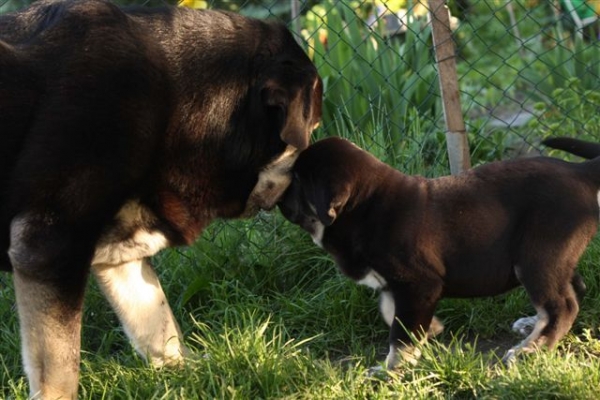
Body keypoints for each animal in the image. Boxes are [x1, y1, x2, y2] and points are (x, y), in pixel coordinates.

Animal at [0, 0, 324, 396]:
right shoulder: (50, 244)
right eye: (312, 126)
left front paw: (193, 375)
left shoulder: (120, 250)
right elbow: (60, 365)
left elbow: (158, 320)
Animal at [278, 138, 596, 372]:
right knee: (574, 288)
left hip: (536, 258)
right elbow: (391, 313)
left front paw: (390, 370)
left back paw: (530, 349)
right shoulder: (398, 287)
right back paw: (531, 326)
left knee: (562, 305)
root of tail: (579, 171)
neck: (364, 208)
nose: (278, 196)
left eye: (297, 180)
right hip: (555, 257)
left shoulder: (417, 283)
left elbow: (400, 332)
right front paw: (430, 328)